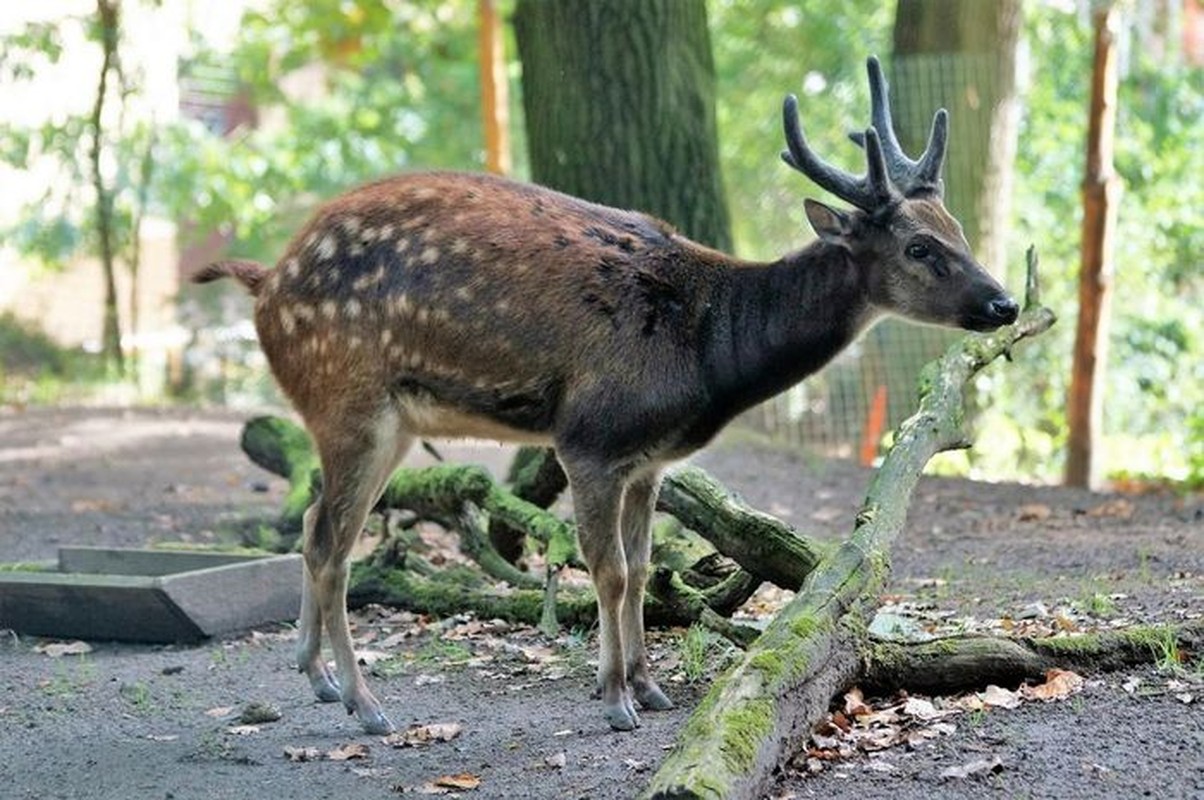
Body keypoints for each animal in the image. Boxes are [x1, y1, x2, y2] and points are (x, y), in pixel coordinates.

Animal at [195, 57, 1016, 737]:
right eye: (918, 247)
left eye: (957, 227)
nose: (1004, 303)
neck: (708, 350)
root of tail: (265, 280)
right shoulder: (589, 437)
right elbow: (611, 570)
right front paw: (617, 698)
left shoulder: (648, 461)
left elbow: (645, 568)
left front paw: (646, 686)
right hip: (351, 402)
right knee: (333, 545)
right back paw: (366, 705)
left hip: (379, 422)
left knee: (311, 522)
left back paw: (318, 678)